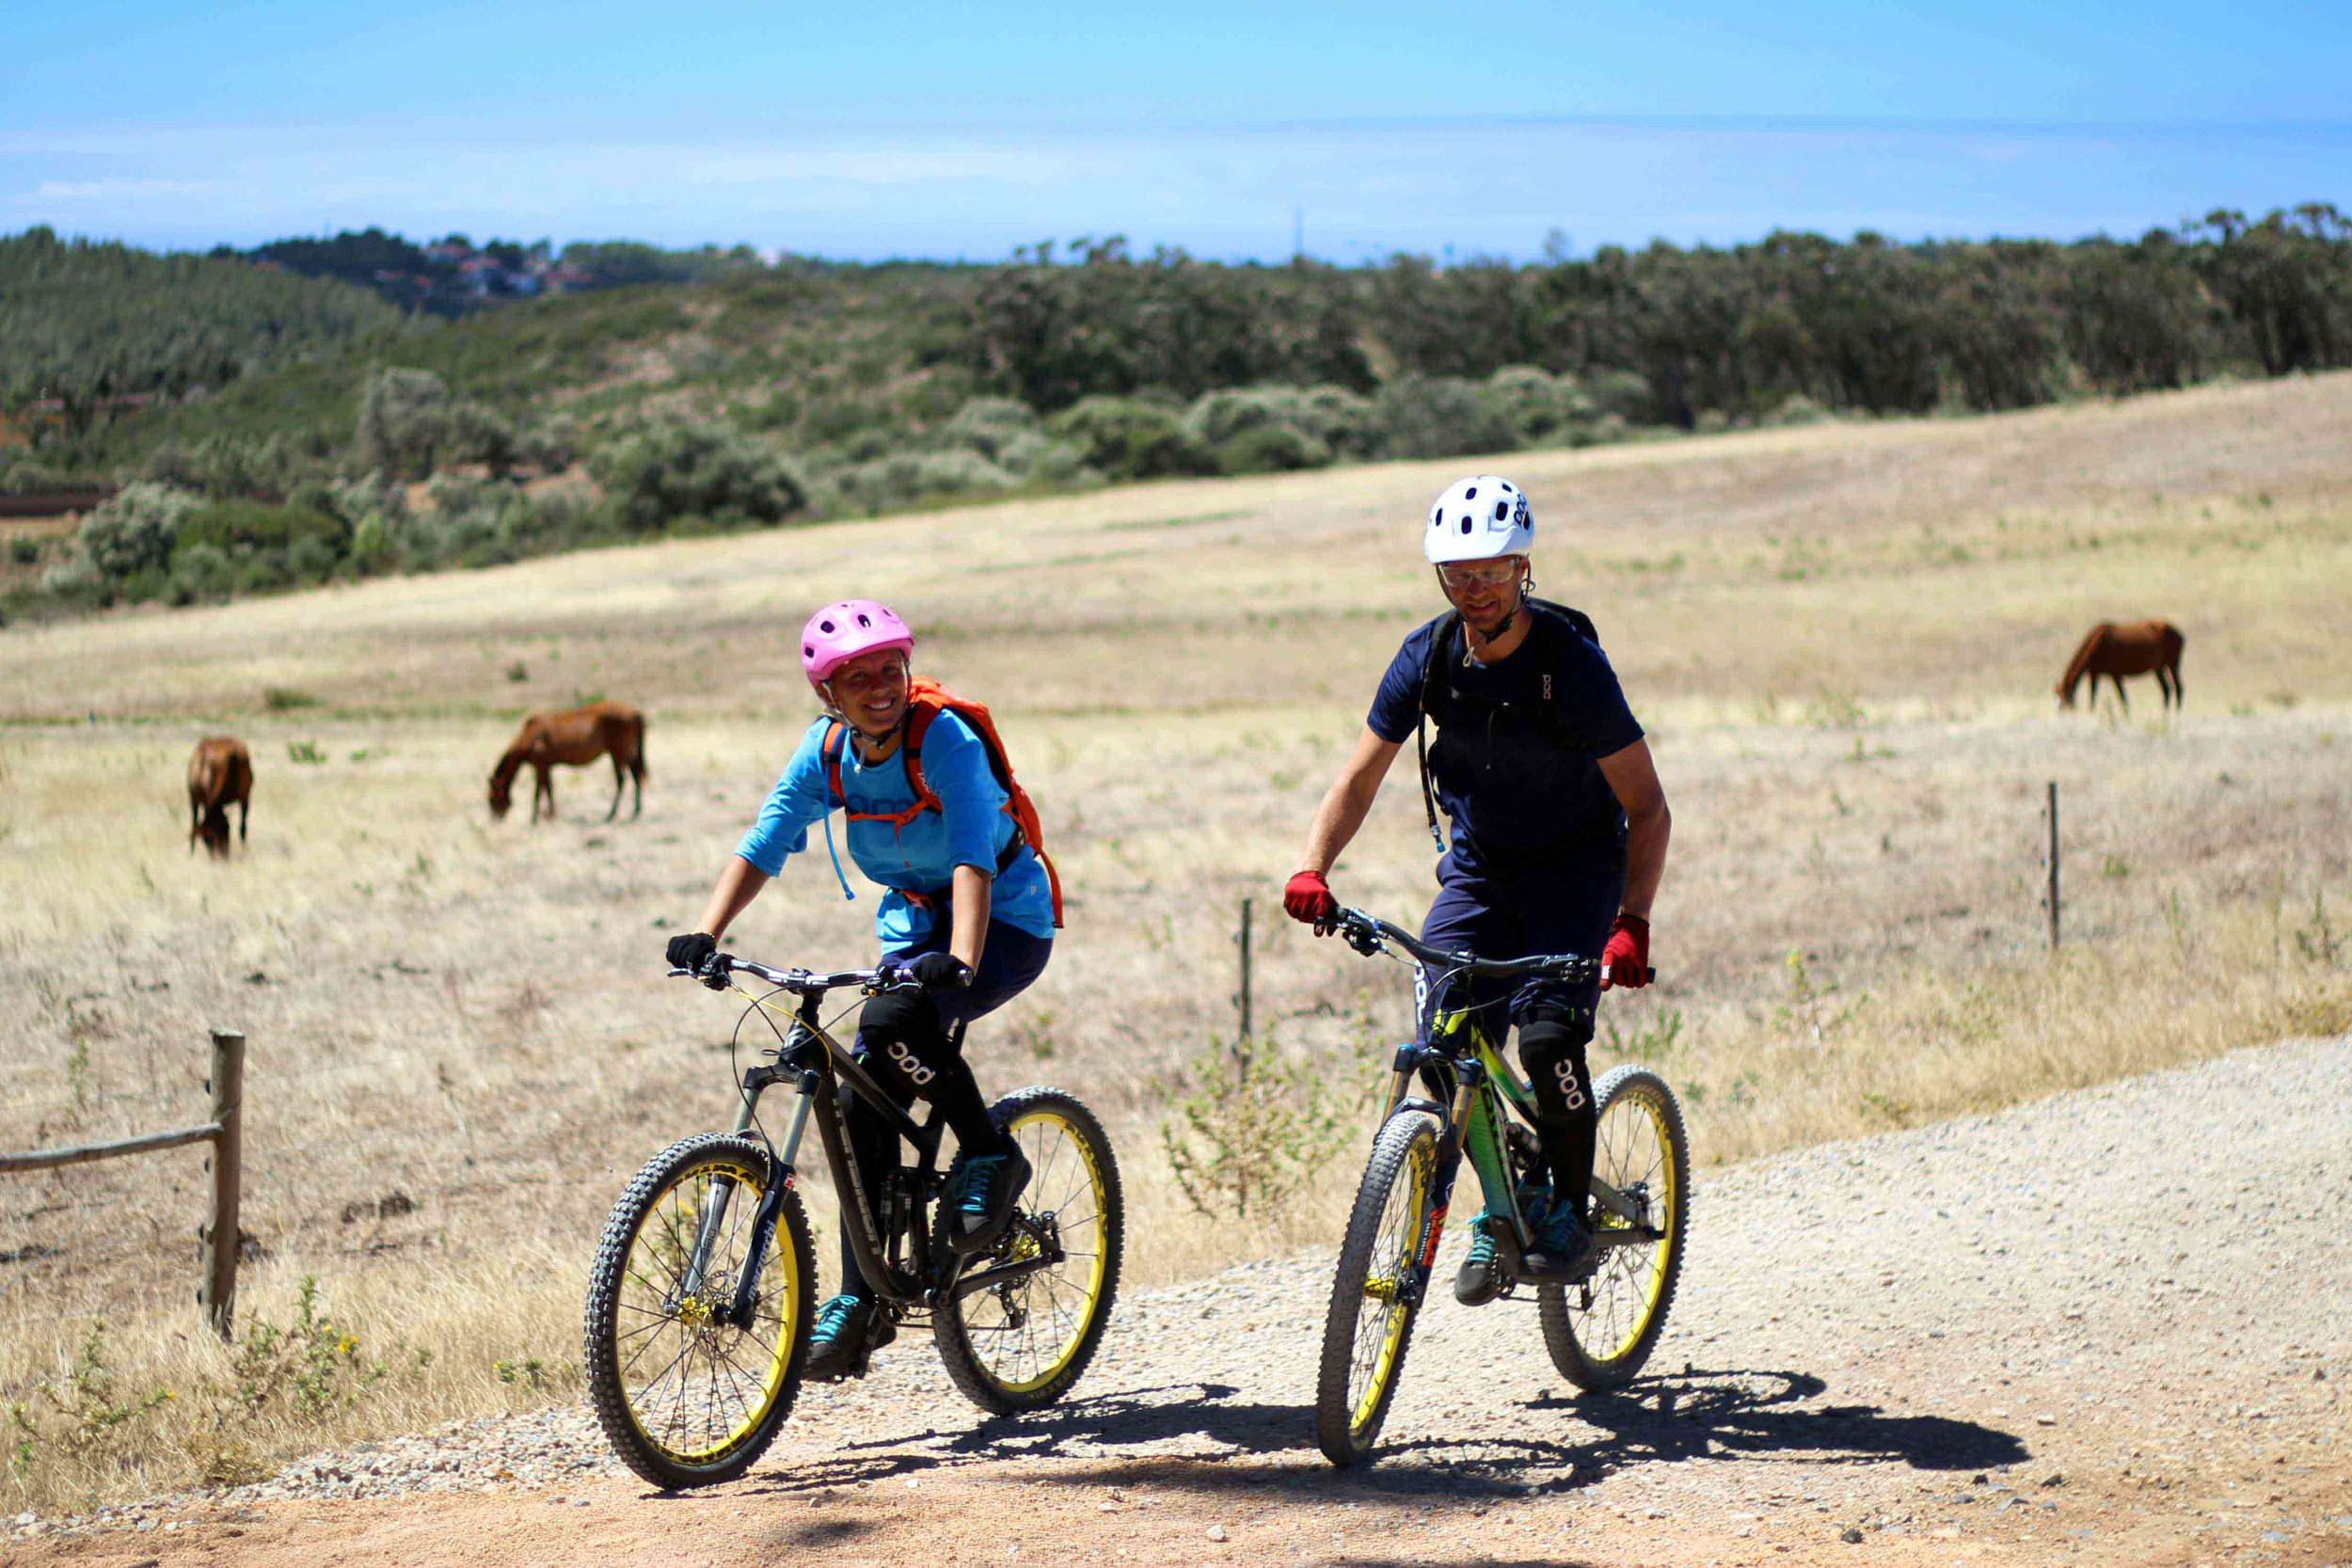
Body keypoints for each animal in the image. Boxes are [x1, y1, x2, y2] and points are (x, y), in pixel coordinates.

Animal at [486, 700, 649, 822]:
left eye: (491, 798)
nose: (495, 819)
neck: (530, 736)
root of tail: (634, 712)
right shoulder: (547, 766)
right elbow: (549, 789)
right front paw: (551, 815)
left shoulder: (540, 767)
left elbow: (538, 791)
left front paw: (534, 818)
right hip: (628, 755)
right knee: (636, 776)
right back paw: (636, 811)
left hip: (617, 755)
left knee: (621, 781)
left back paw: (611, 814)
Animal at [2060, 620, 2183, 714]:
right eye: (2058, 695)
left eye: (2066, 698)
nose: (2062, 713)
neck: (2098, 643)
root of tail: (2179, 634)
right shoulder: (2094, 674)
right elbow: (2092, 696)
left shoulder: (2116, 675)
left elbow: (2122, 698)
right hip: (2158, 669)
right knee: (2166, 690)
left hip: (2173, 665)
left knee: (2179, 688)